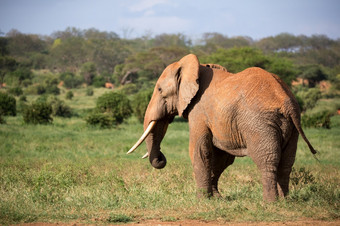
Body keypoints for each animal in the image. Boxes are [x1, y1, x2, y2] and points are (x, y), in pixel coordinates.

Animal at [127, 53, 316, 202]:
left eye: (159, 90)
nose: (161, 158)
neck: (195, 68)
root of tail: (287, 102)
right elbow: (221, 156)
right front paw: (217, 198)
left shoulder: (199, 111)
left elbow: (199, 150)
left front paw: (202, 200)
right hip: (290, 126)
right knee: (287, 161)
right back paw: (285, 201)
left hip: (259, 123)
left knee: (267, 159)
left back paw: (270, 202)